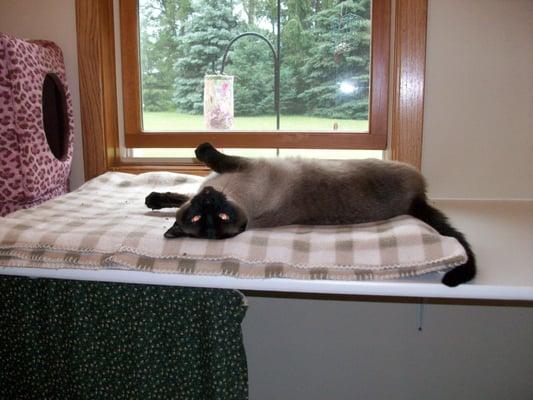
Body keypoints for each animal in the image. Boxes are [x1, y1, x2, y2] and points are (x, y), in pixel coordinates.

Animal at [144, 142, 474, 286]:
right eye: (203, 220)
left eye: (217, 217)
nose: (210, 202)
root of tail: (414, 201)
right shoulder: (229, 173)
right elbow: (197, 174)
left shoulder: (231, 169)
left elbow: (191, 178)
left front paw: (151, 199)